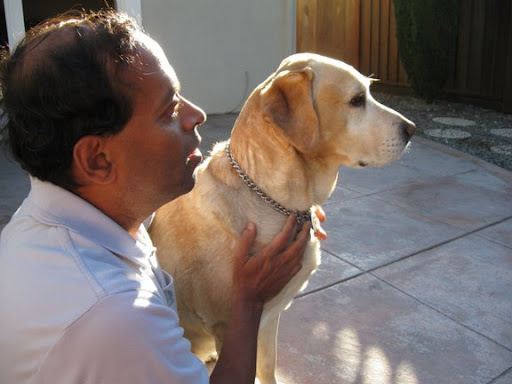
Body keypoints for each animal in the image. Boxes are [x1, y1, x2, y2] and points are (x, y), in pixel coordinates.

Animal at [149, 52, 416, 382]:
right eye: (357, 100)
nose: (412, 129)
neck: (270, 195)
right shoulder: (230, 324)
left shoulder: (268, 318)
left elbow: (267, 367)